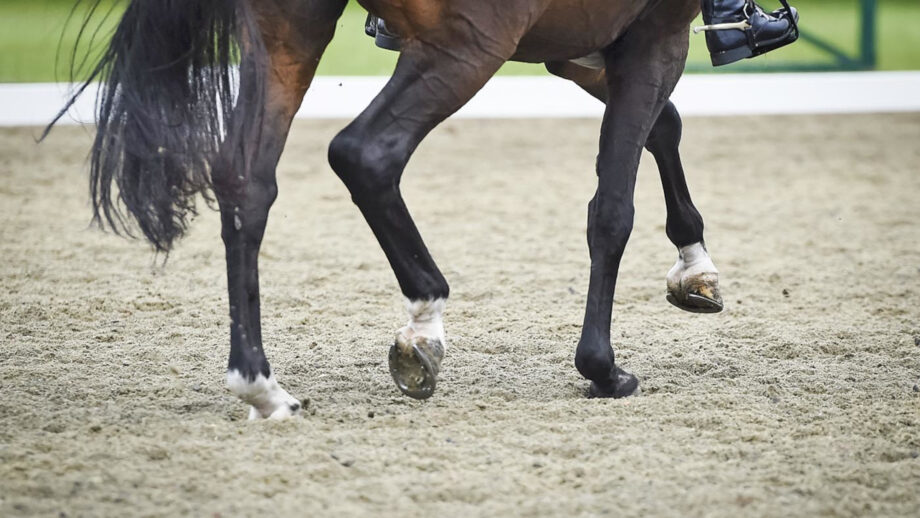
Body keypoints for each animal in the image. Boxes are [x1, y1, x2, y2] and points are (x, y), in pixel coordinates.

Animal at [50, 0, 722, 419]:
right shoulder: (652, 35)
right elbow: (612, 206)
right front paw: (603, 369)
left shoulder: (576, 45)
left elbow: (663, 127)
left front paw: (695, 267)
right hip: (469, 45)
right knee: (366, 154)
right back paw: (424, 323)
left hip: (288, 33)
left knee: (246, 182)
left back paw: (261, 385)